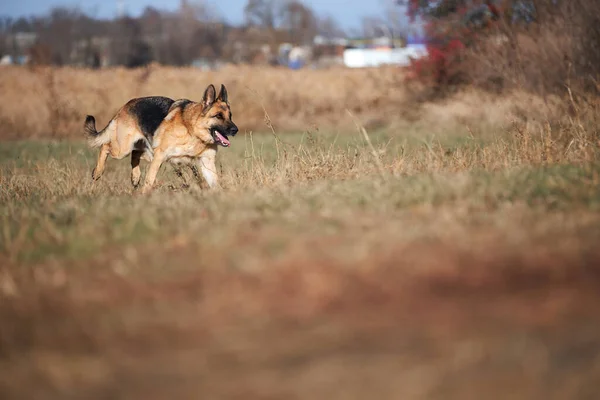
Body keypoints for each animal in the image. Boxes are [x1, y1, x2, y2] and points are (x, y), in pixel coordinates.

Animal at [84, 84, 237, 194]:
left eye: (230, 116)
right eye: (218, 116)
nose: (235, 130)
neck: (192, 130)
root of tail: (125, 106)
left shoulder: (206, 162)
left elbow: (215, 182)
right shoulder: (160, 156)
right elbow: (150, 179)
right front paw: (143, 196)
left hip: (145, 151)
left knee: (135, 154)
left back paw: (135, 177)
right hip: (123, 149)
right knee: (106, 146)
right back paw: (98, 172)